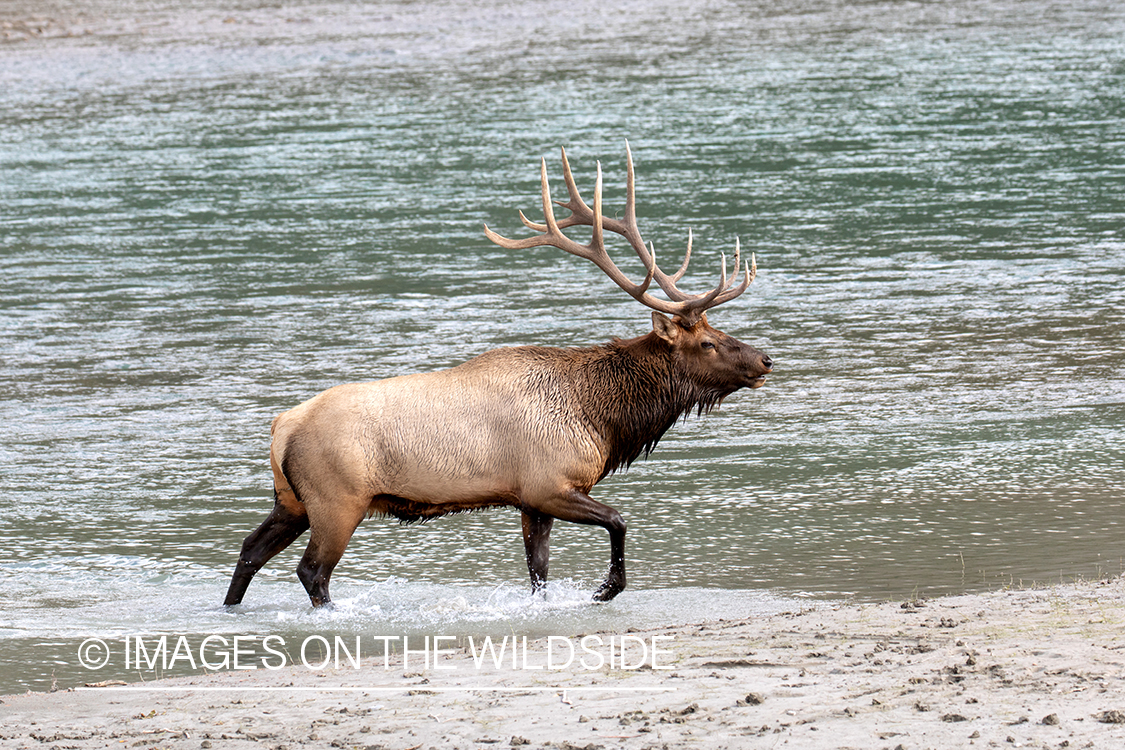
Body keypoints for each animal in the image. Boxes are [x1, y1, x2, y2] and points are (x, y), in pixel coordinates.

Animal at [228, 145, 774, 611]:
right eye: (707, 342)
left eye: (720, 331)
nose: (765, 360)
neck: (601, 419)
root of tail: (281, 427)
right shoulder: (550, 483)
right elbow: (618, 522)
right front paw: (605, 590)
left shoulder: (529, 500)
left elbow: (538, 573)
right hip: (337, 500)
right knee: (312, 571)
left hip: (292, 500)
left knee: (250, 549)